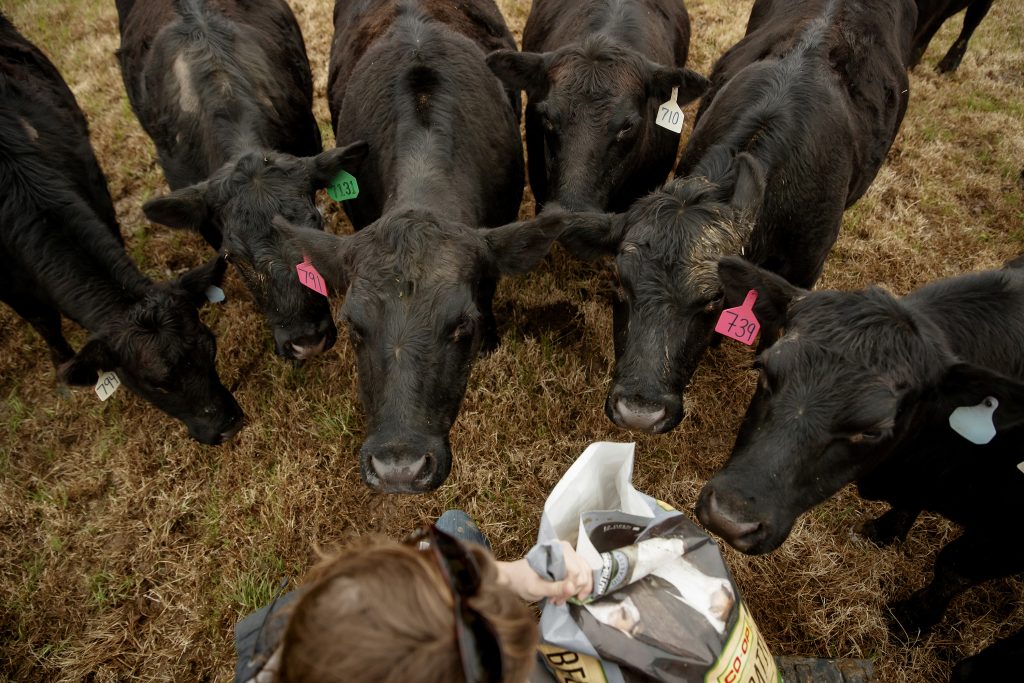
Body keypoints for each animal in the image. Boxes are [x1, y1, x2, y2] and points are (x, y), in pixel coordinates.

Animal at [0, 14, 243, 445]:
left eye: (210, 347)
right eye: (157, 383)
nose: (227, 426)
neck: (21, 187)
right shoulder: (11, 286)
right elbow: (44, 321)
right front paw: (63, 369)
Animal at [694, 255, 1024, 675]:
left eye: (872, 429)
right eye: (765, 369)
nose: (728, 517)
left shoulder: (1005, 537)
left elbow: (953, 567)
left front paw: (911, 621)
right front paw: (885, 531)